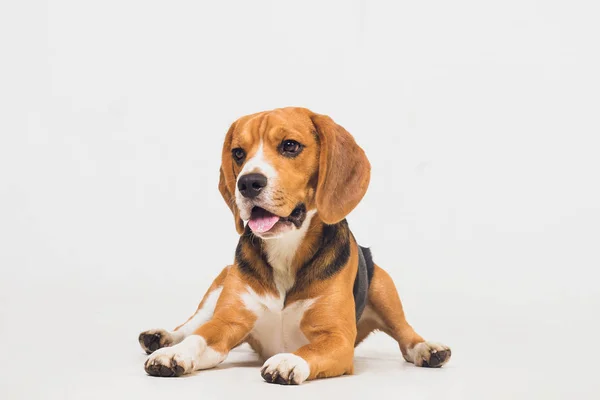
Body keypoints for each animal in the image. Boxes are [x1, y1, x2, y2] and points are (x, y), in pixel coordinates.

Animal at [139, 107, 450, 384]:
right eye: (238, 153)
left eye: (290, 146)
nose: (247, 183)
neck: (284, 249)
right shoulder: (227, 322)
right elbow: (198, 336)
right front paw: (173, 353)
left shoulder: (336, 338)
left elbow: (311, 348)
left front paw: (289, 360)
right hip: (220, 283)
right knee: (191, 323)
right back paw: (162, 338)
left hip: (383, 287)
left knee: (405, 333)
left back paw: (428, 349)